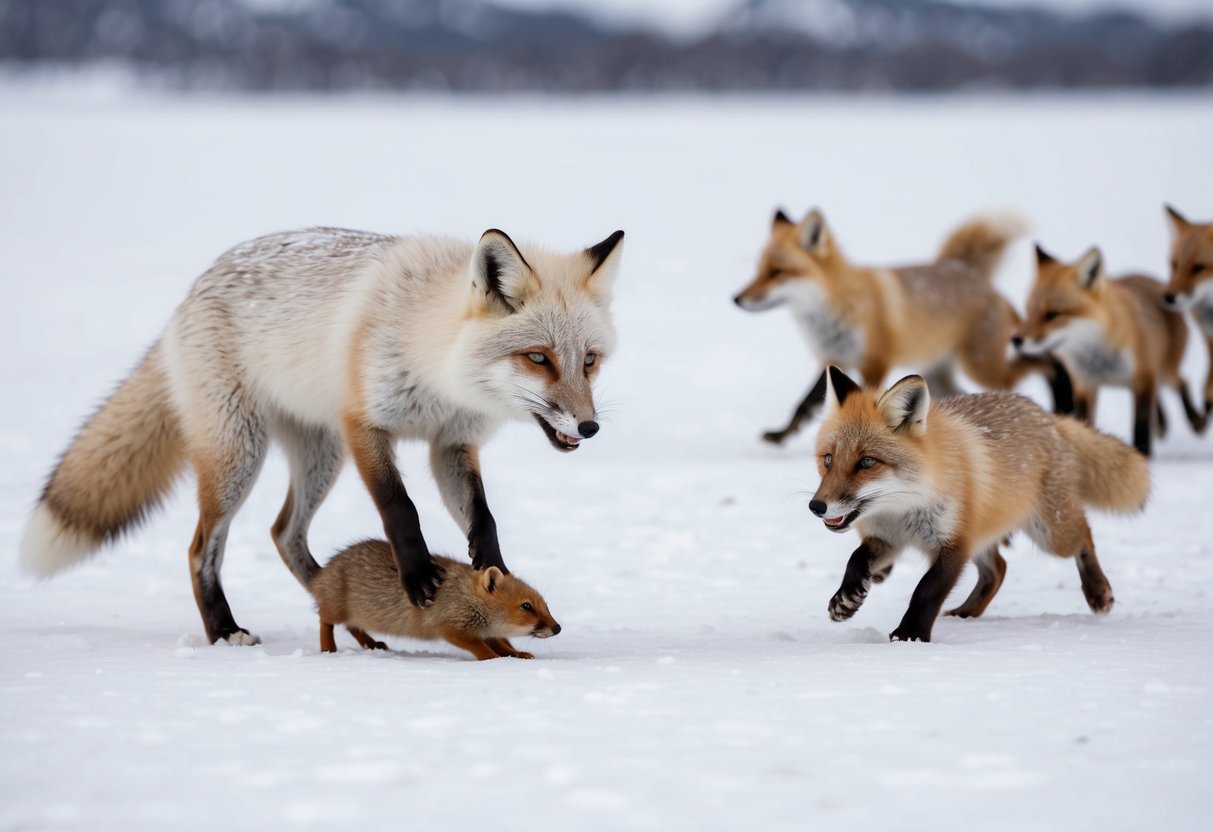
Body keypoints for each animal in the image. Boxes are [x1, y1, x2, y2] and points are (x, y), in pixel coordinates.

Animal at [20, 226, 623, 645]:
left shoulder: (449, 444)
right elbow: (399, 508)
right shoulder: (364, 425)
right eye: (539, 358)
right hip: (242, 457)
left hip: (318, 456)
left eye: (589, 361)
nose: (589, 427)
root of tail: (195, 286)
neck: (435, 365)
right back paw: (225, 631)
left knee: (284, 532)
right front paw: (417, 577)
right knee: (200, 550)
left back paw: (331, 595)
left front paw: (488, 569)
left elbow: (483, 515)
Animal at [309, 540, 560, 660]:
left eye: (546, 605)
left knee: (352, 627)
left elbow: (503, 645)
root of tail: (321, 575)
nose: (557, 628)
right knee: (325, 620)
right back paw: (328, 648)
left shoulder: (488, 631)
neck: (467, 595)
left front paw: (518, 655)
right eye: (526, 606)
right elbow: (481, 647)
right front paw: (493, 659)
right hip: (336, 608)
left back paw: (372, 643)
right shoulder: (452, 628)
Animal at [732, 208, 1071, 445]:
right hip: (941, 375)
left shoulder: (874, 362)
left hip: (984, 368)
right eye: (759, 271)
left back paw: (1064, 397)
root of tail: (966, 271)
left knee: (1044, 362)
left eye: (777, 272)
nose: (737, 299)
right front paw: (780, 436)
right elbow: (803, 405)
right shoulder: (834, 357)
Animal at [809, 367, 1149, 643]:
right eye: (828, 459)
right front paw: (847, 597)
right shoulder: (888, 539)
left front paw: (911, 635)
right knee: (997, 569)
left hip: (1051, 535)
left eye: (867, 462)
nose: (816, 507)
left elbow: (928, 589)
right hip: (986, 533)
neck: (902, 508)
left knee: (1084, 536)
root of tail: (1049, 418)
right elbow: (856, 558)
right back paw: (966, 614)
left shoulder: (955, 542)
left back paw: (1098, 591)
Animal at [1013, 243, 1202, 456]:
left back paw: (1195, 420)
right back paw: (1163, 424)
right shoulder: (1085, 385)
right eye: (1029, 311)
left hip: (1165, 371)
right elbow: (1085, 421)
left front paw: (1144, 456)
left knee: (1182, 382)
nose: (1017, 340)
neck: (1099, 359)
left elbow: (1141, 427)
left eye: (1053, 314)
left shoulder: (1142, 379)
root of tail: (1156, 282)